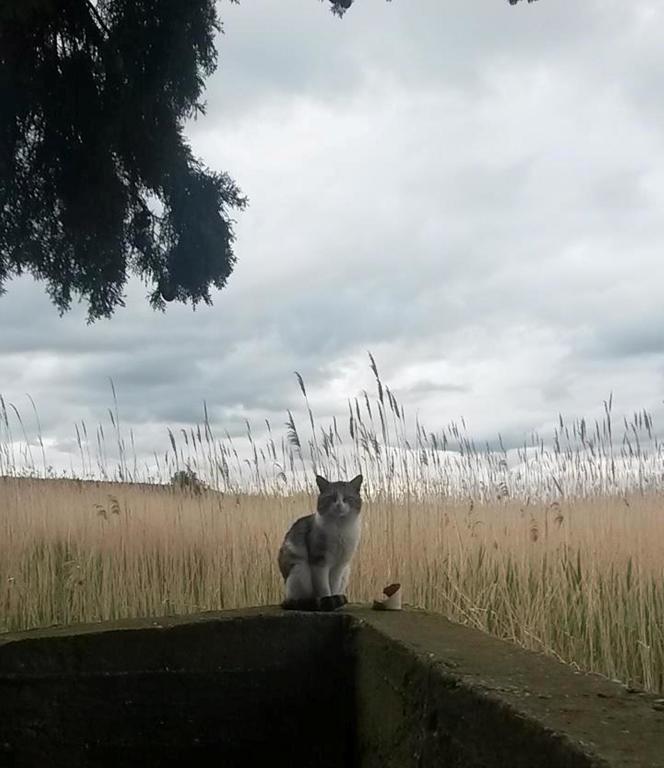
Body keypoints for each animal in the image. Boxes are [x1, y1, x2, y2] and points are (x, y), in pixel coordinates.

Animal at [278, 474, 366, 612]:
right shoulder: (319, 561)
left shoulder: (339, 565)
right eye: (331, 498)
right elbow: (324, 587)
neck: (339, 528)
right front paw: (327, 601)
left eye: (347, 498)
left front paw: (334, 602)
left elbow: (333, 585)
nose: (339, 505)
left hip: (346, 571)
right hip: (299, 569)